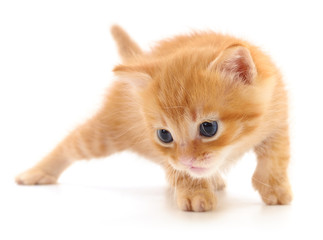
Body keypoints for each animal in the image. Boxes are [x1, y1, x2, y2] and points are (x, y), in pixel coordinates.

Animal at [15, 24, 294, 212]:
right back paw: (37, 172)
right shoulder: (170, 156)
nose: (187, 159)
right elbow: (179, 170)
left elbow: (275, 157)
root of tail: (141, 58)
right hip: (105, 133)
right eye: (164, 135)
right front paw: (194, 194)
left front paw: (274, 187)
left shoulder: (278, 118)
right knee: (72, 143)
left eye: (209, 128)